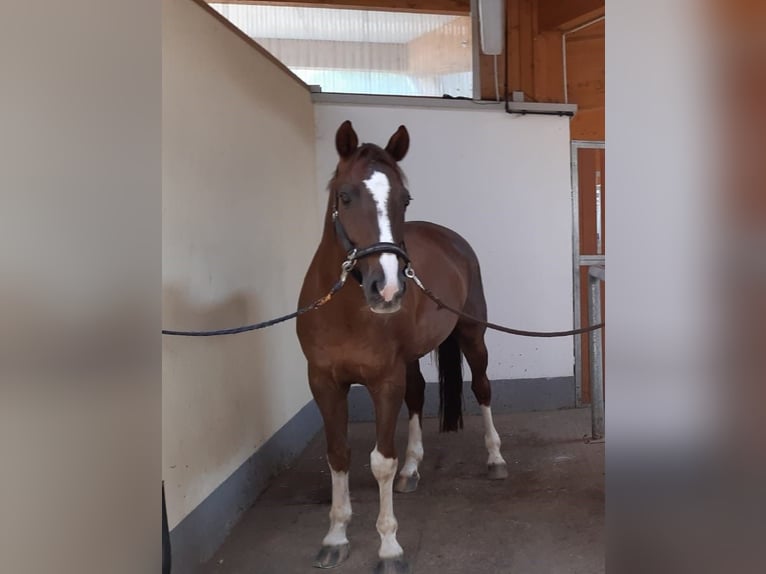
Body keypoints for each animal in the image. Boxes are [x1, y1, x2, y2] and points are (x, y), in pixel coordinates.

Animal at [296, 120, 507, 574]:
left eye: (404, 199)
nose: (389, 288)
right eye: (345, 195)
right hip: (411, 359)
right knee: (417, 396)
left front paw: (389, 547)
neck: (345, 311)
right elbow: (338, 454)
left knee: (482, 389)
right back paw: (412, 468)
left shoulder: (384, 381)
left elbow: (380, 461)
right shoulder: (323, 382)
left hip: (472, 336)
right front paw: (335, 536)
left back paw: (495, 459)